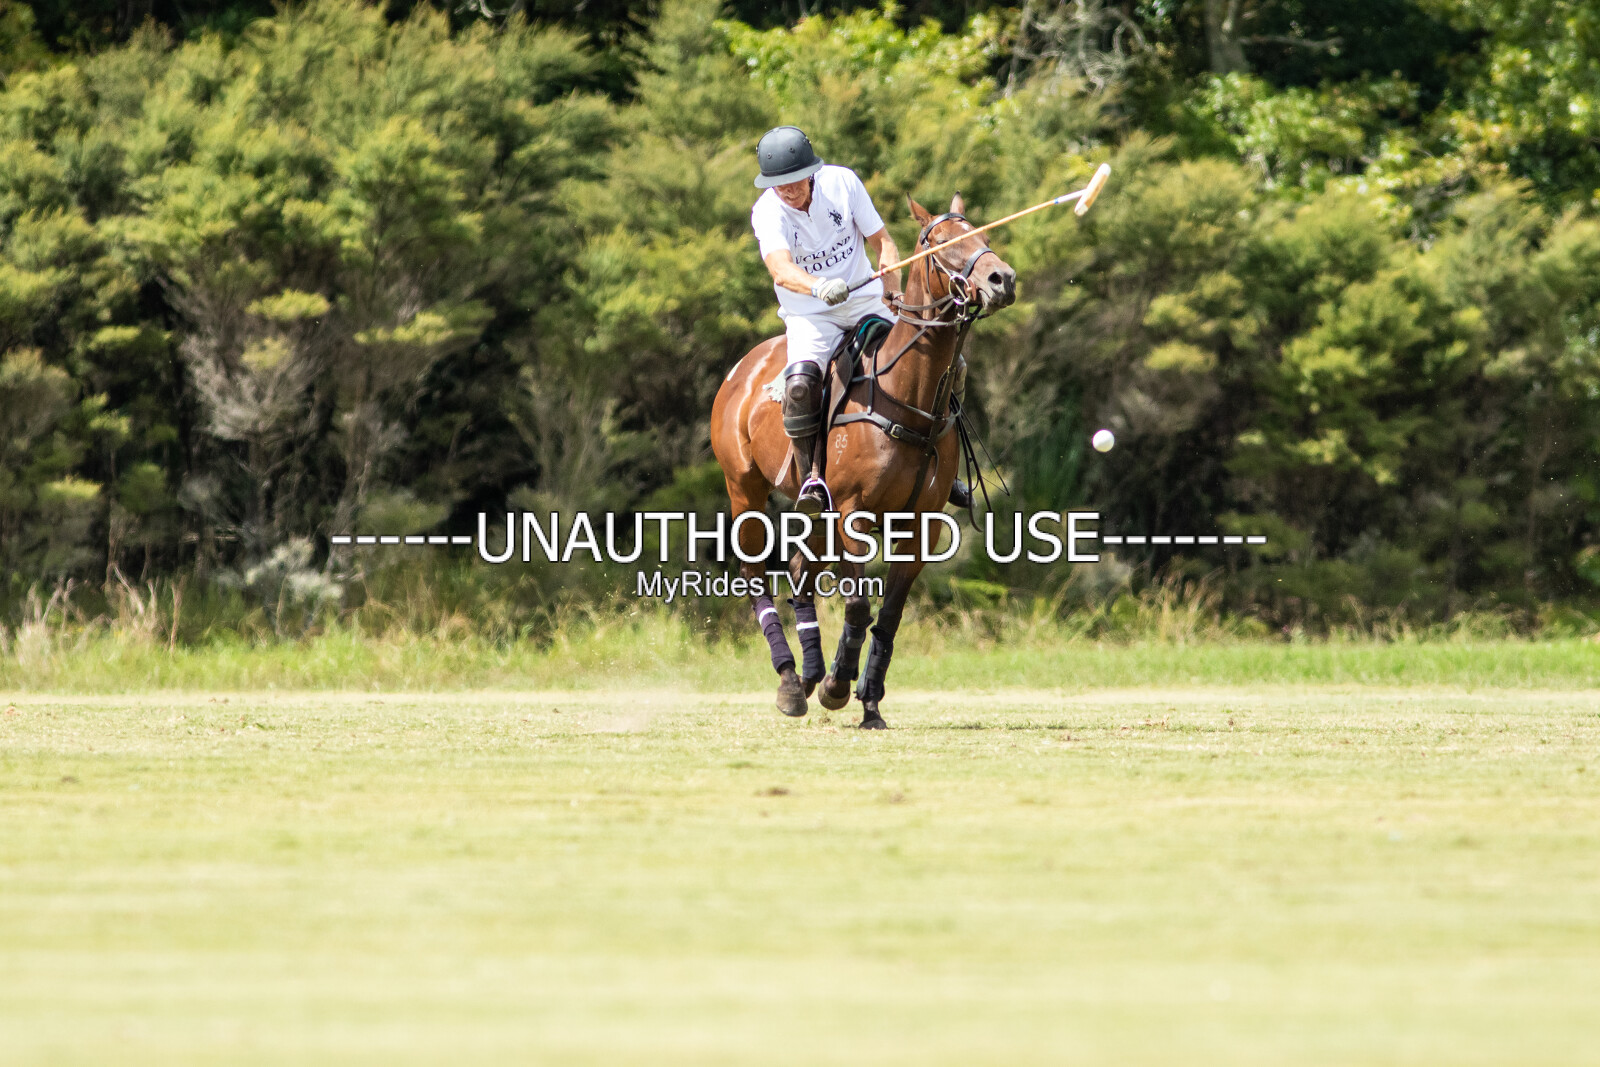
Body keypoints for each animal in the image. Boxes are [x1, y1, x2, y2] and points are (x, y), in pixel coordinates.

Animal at [710, 193, 1017, 728]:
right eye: (940, 242)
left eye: (982, 234)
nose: (1002, 279)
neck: (908, 398)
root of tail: (740, 370)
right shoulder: (852, 512)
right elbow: (857, 606)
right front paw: (838, 687)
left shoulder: (920, 525)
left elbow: (889, 615)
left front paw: (869, 700)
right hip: (743, 487)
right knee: (755, 574)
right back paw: (791, 681)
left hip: (814, 510)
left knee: (798, 568)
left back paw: (808, 675)